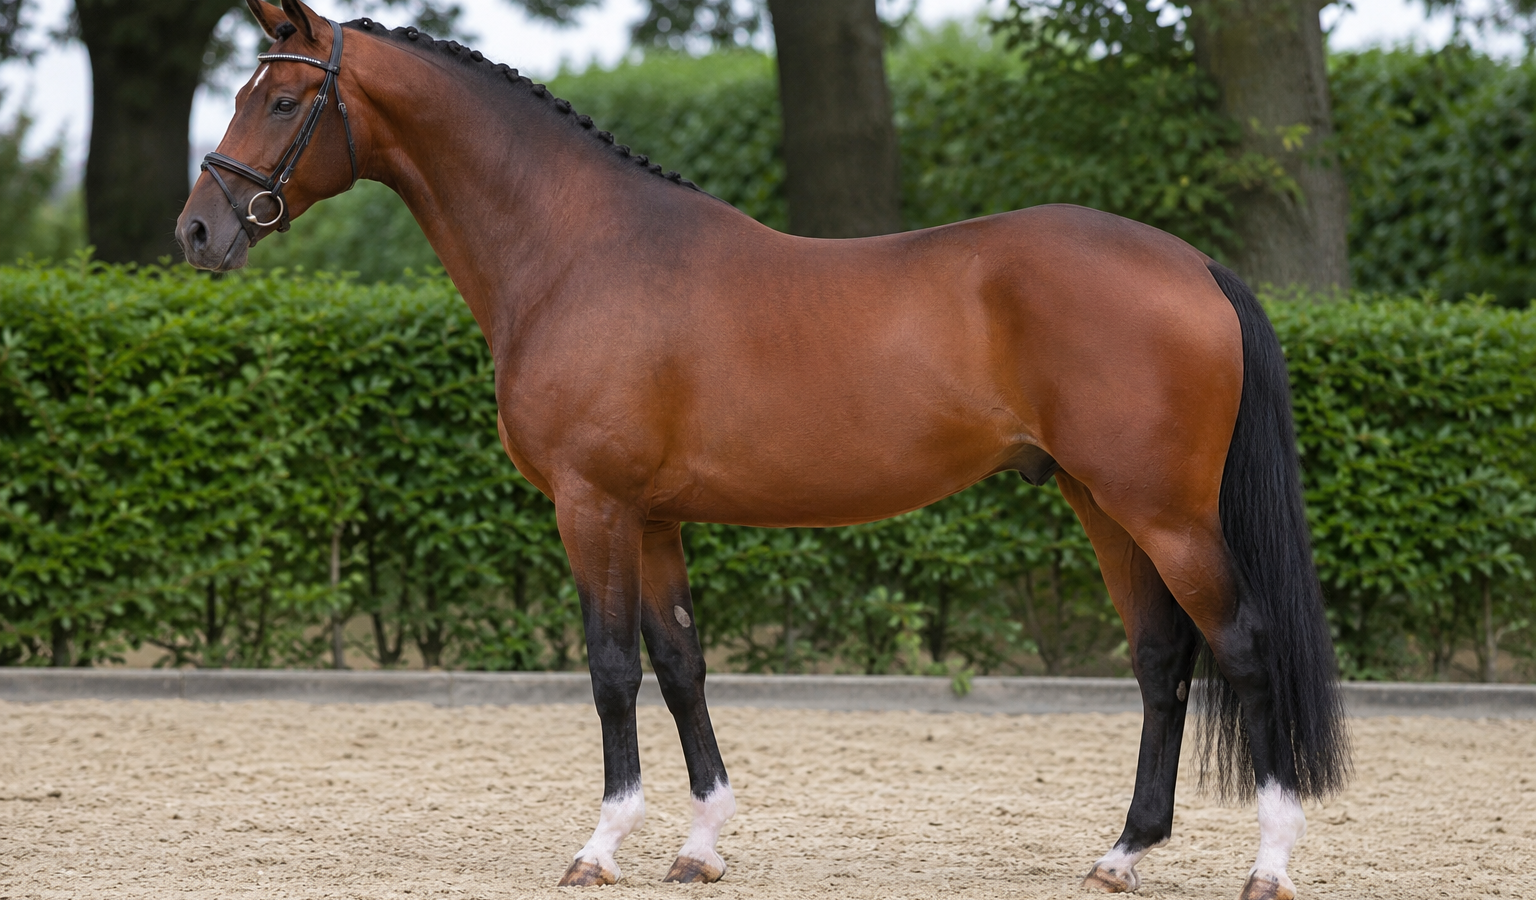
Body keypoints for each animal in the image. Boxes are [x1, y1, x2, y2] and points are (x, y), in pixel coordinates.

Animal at [176, 3, 1350, 896]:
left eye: (282, 100)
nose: (198, 232)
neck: (578, 251)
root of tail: (1192, 265)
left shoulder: (590, 504)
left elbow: (611, 668)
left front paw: (601, 845)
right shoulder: (652, 516)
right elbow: (681, 664)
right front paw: (699, 845)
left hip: (1164, 513)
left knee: (1245, 648)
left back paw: (1269, 865)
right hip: (1103, 505)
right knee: (1161, 661)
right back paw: (1122, 854)